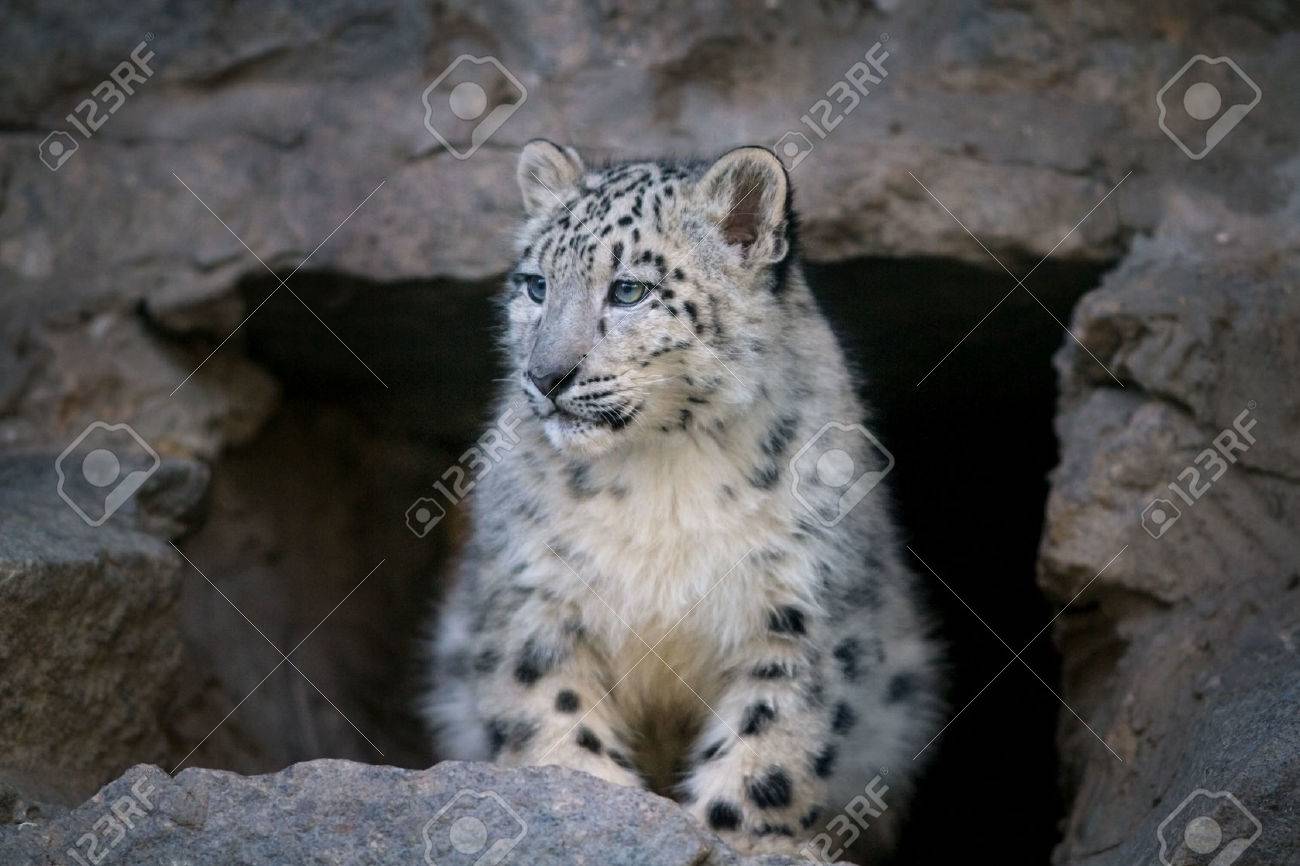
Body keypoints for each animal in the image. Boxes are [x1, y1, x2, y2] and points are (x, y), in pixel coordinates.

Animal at [423, 139, 942, 861]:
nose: (546, 375)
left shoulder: (804, 608)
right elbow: (553, 720)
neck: (664, 472)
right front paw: (586, 810)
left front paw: (736, 838)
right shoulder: (531, 598)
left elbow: (769, 751)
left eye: (629, 289)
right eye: (536, 285)